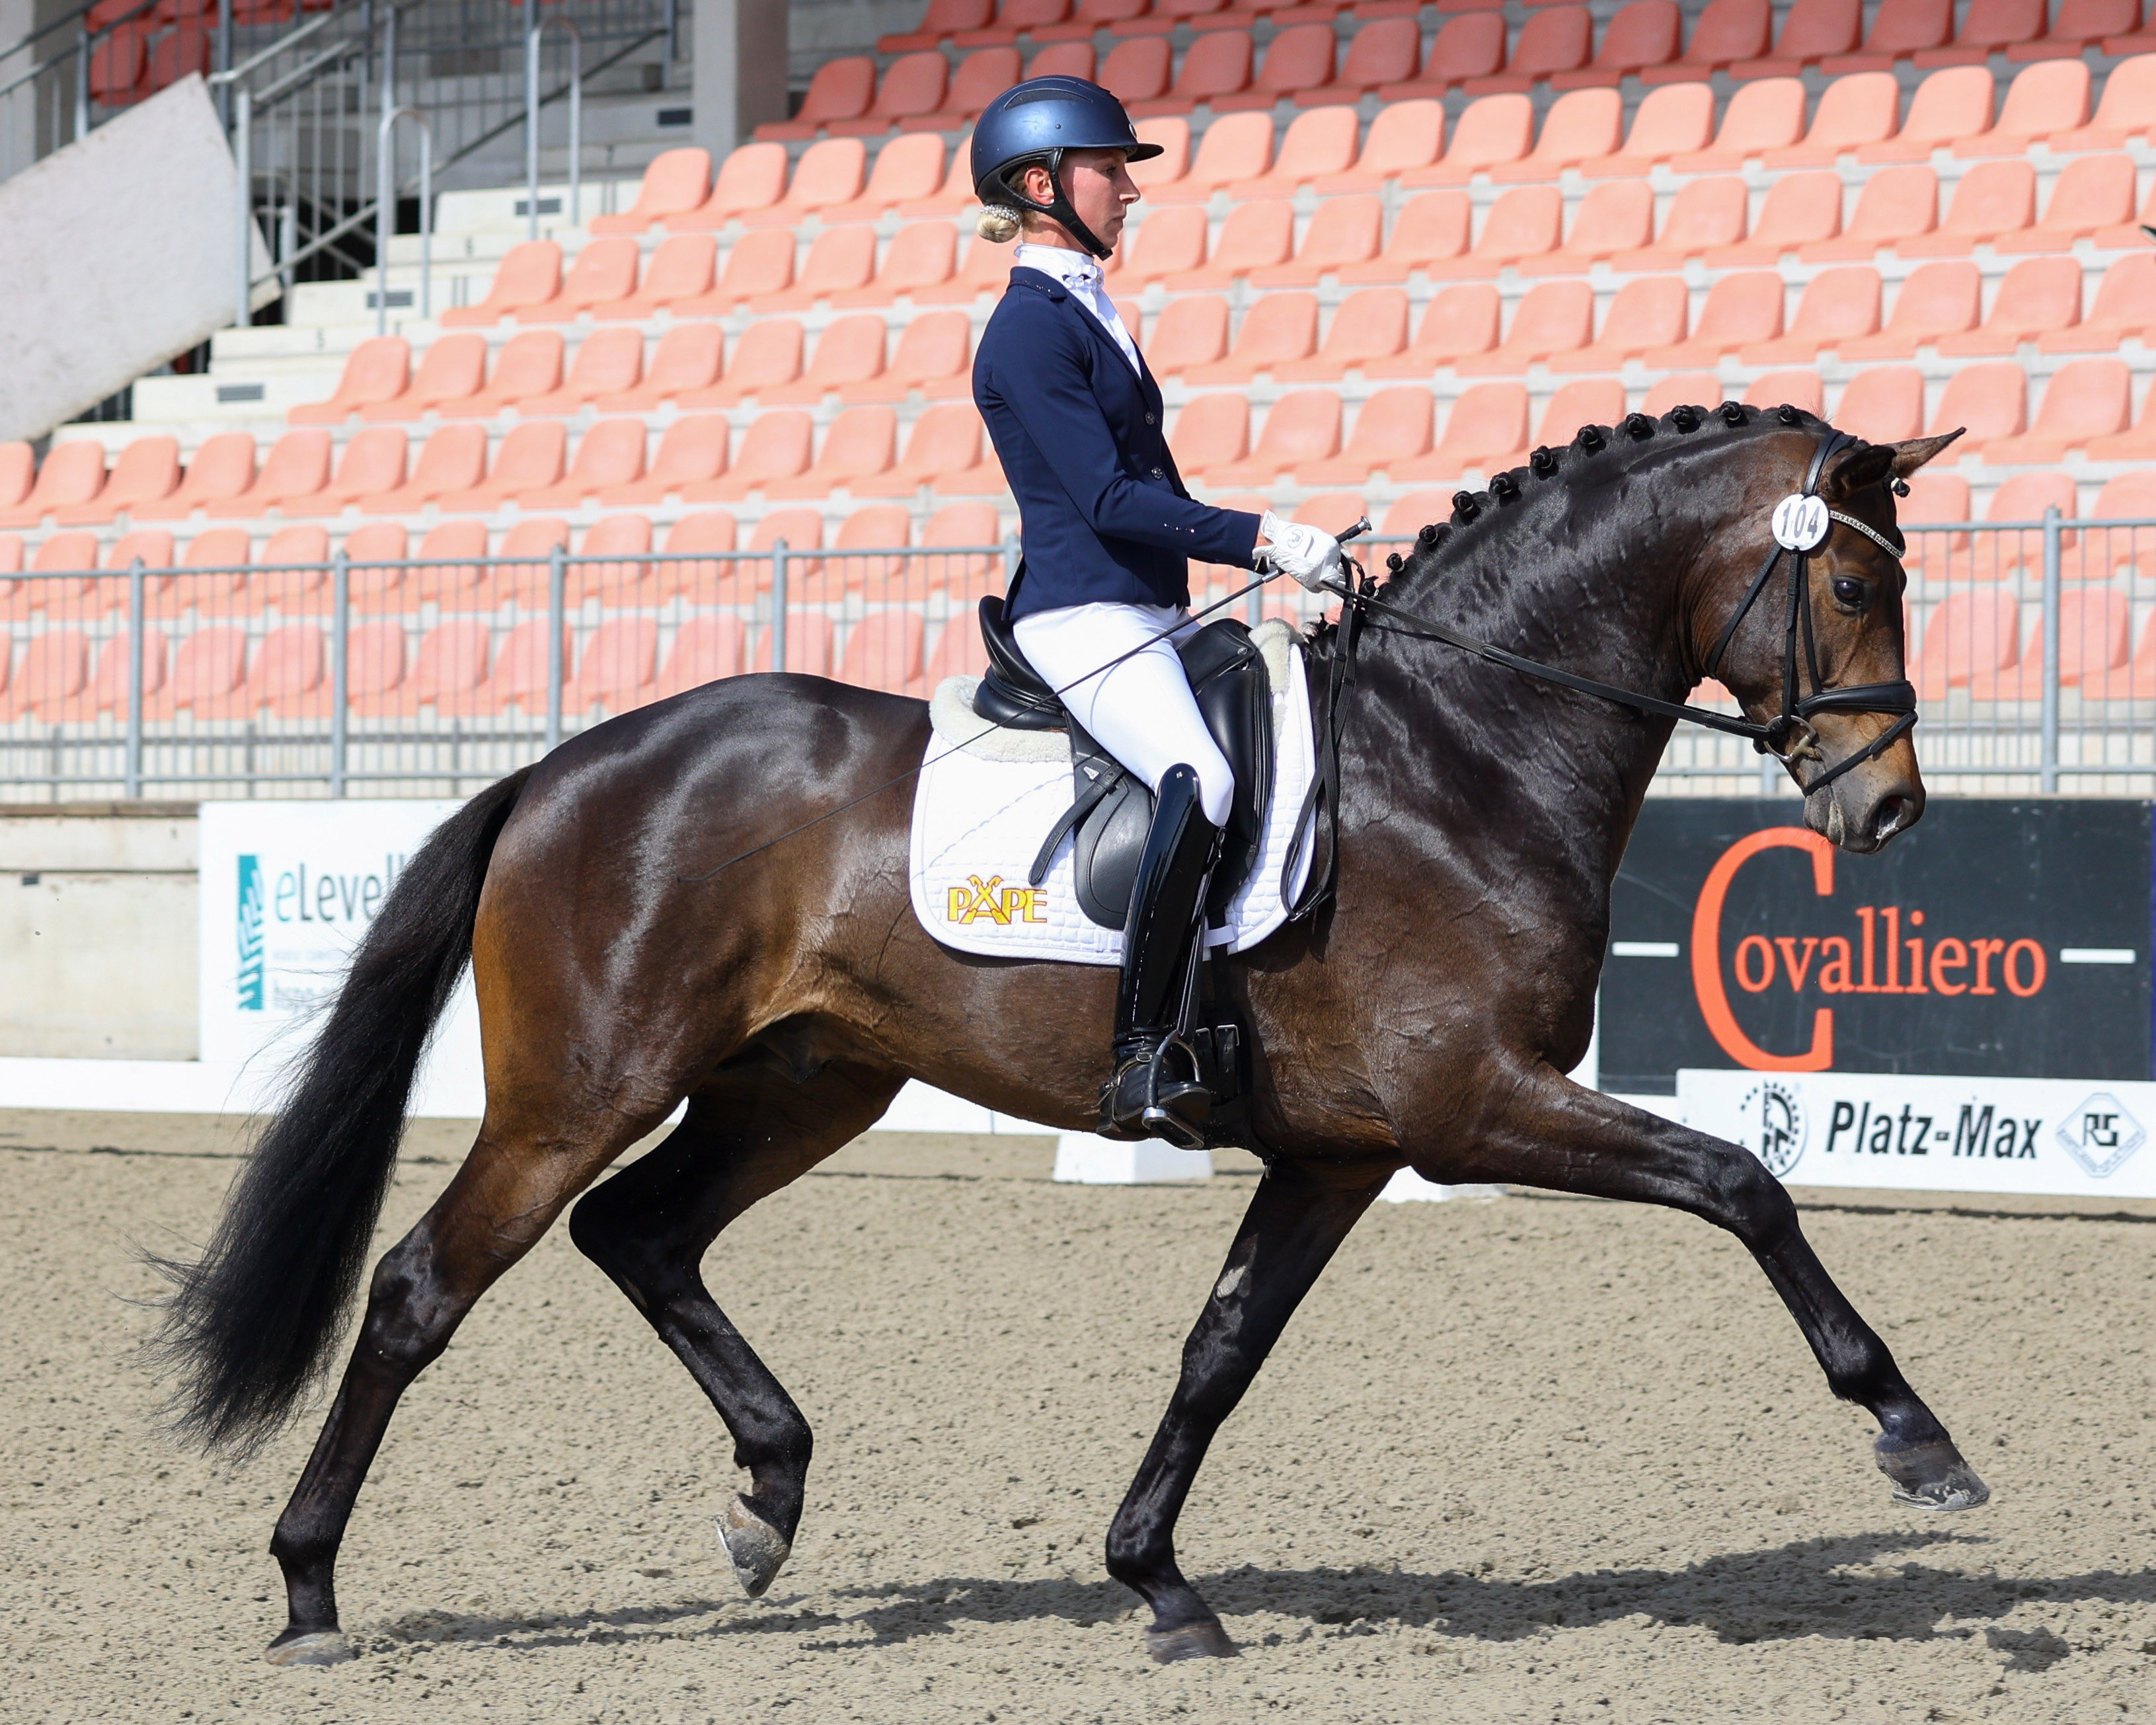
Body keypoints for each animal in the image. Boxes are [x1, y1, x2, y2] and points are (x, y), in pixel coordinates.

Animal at [159, 405, 1992, 1673]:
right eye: (1849, 576)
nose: (1890, 809)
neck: (1463, 749)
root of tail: (564, 764)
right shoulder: (1471, 1104)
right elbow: (1741, 1180)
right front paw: (1916, 1437)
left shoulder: (1342, 1150)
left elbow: (1220, 1349)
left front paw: (1157, 1581)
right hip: (578, 1088)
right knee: (425, 1285)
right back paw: (310, 1587)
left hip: (808, 1082)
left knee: (643, 1232)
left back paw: (767, 1497)